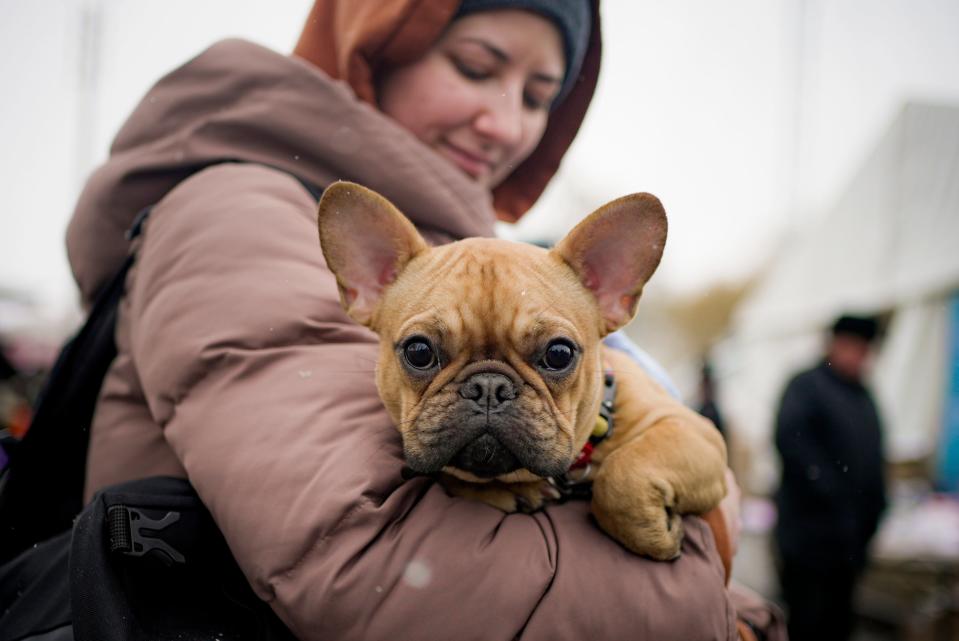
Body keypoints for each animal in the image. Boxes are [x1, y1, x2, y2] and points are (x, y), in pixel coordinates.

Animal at [316, 181, 728, 560]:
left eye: (559, 354)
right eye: (419, 351)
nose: (488, 386)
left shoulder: (694, 434)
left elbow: (622, 475)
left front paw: (656, 536)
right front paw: (510, 491)